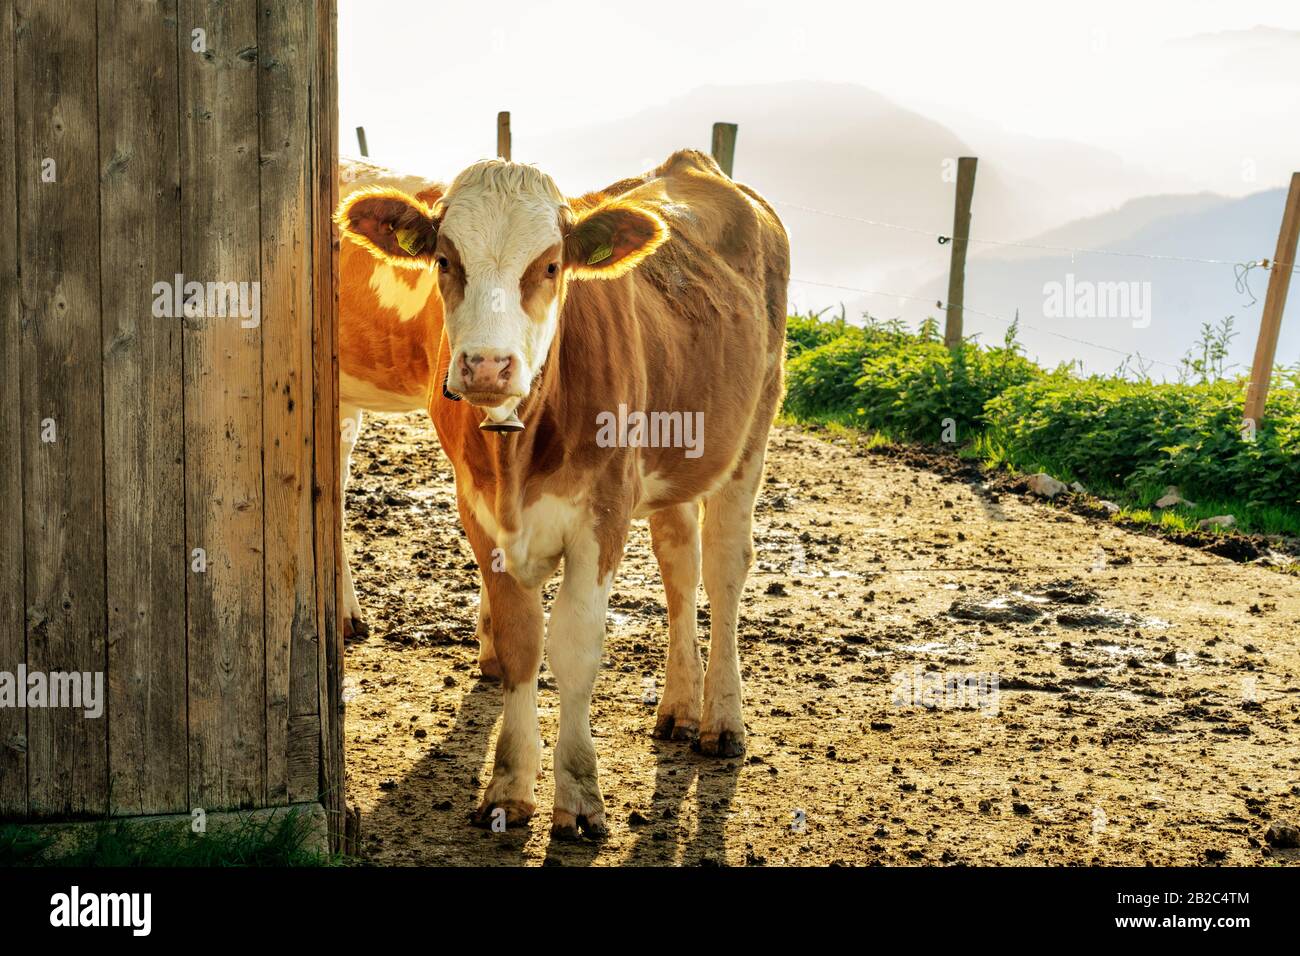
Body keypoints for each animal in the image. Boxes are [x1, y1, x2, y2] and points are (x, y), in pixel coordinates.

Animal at [335, 149, 785, 837]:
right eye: (445, 260)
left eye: (550, 265)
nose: (487, 365)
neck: (518, 450)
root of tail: (693, 165)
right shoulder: (480, 514)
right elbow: (523, 643)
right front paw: (508, 789)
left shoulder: (602, 517)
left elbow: (573, 649)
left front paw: (578, 796)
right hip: (674, 460)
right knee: (680, 565)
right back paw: (679, 709)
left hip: (751, 431)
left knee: (725, 568)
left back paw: (722, 721)